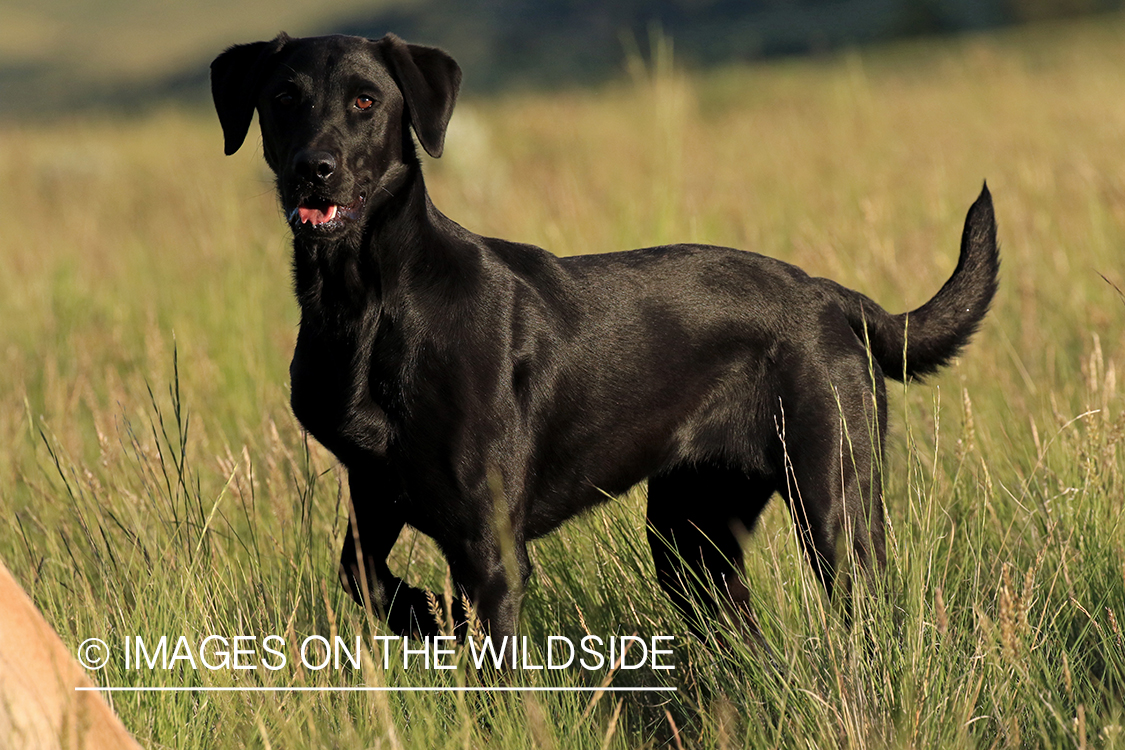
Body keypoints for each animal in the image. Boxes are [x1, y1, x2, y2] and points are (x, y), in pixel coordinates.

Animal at [212, 35, 1003, 643]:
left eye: (365, 102)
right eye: (284, 99)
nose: (312, 169)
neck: (366, 302)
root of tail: (826, 292)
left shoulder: (489, 547)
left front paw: (444, 628)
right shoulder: (374, 490)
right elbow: (362, 577)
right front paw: (426, 614)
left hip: (834, 507)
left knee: (863, 618)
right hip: (691, 537)